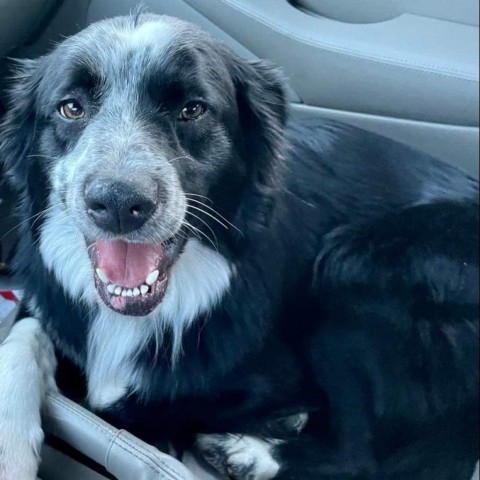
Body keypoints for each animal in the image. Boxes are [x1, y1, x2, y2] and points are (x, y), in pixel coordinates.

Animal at [0, 12, 480, 480]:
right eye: (71, 108)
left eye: (192, 109)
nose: (118, 204)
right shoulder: (48, 303)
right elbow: (23, 336)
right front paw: (10, 451)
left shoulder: (268, 375)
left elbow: (143, 404)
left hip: (350, 268)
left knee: (358, 454)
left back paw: (248, 452)